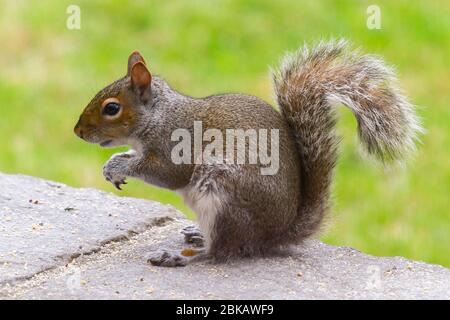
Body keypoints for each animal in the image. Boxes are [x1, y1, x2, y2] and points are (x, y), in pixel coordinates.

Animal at [74, 38, 422, 266]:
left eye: (112, 108)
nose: (77, 132)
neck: (160, 115)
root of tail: (275, 234)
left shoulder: (177, 146)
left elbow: (167, 173)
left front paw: (120, 166)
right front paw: (113, 163)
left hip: (222, 195)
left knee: (222, 252)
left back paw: (182, 255)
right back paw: (196, 235)